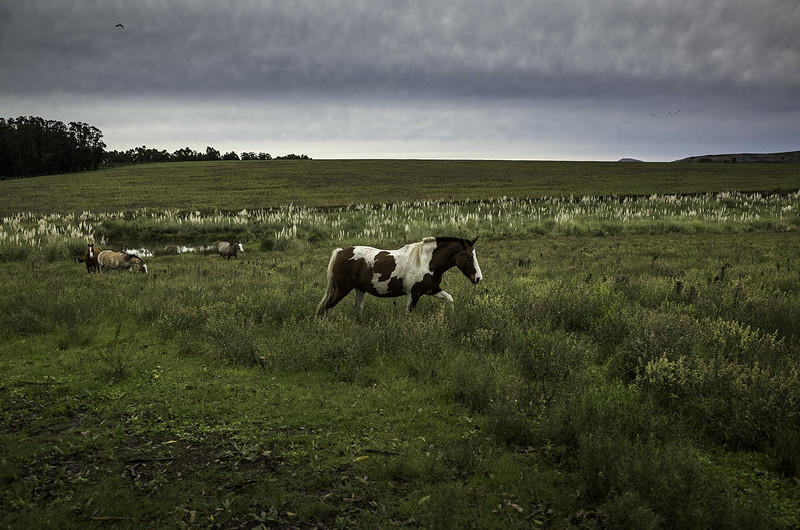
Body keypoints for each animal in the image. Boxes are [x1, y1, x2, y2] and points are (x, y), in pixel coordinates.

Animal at [318, 235, 482, 318]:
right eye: (469, 257)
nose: (478, 278)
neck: (425, 261)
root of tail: (340, 252)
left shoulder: (432, 289)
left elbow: (450, 299)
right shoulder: (414, 294)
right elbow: (409, 316)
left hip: (359, 289)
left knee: (357, 308)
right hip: (343, 288)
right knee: (329, 306)